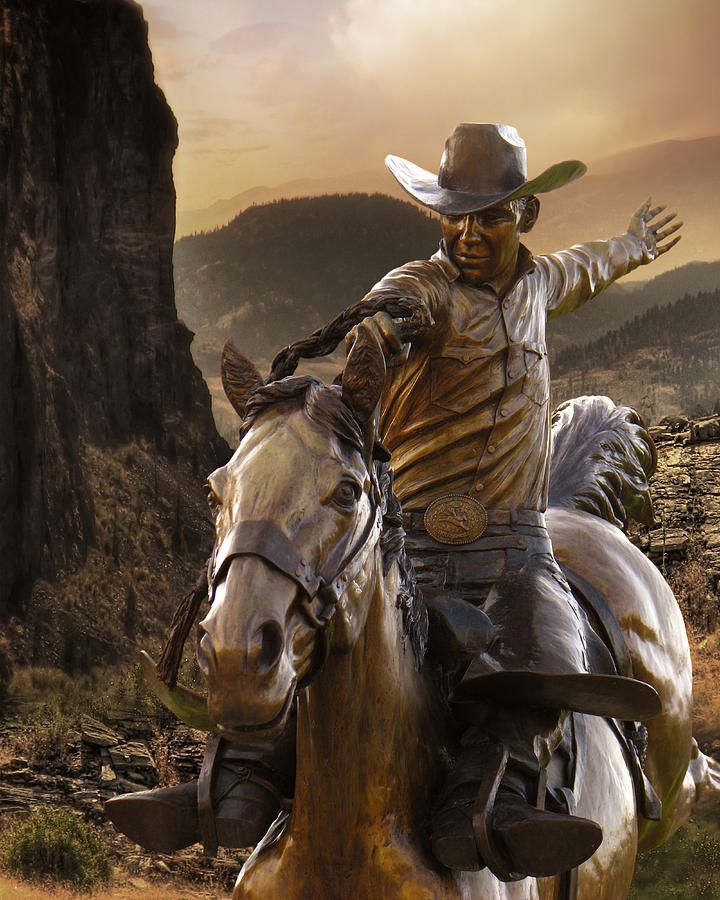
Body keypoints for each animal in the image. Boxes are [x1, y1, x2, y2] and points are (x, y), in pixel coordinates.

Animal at [155, 330, 716, 900]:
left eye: (347, 492)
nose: (236, 655)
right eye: (214, 491)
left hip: (668, 768)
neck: (353, 836)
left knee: (694, 768)